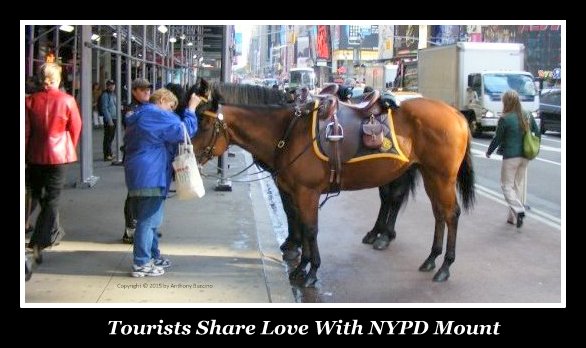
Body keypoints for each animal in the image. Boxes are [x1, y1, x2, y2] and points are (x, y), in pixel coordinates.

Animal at [193, 83, 474, 286]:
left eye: (204, 124)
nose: (190, 153)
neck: (287, 131)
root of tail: (456, 113)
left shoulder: (306, 192)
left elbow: (310, 229)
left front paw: (310, 271)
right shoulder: (295, 191)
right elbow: (301, 224)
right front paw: (301, 264)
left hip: (442, 176)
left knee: (449, 213)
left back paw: (444, 265)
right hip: (429, 174)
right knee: (437, 213)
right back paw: (429, 257)